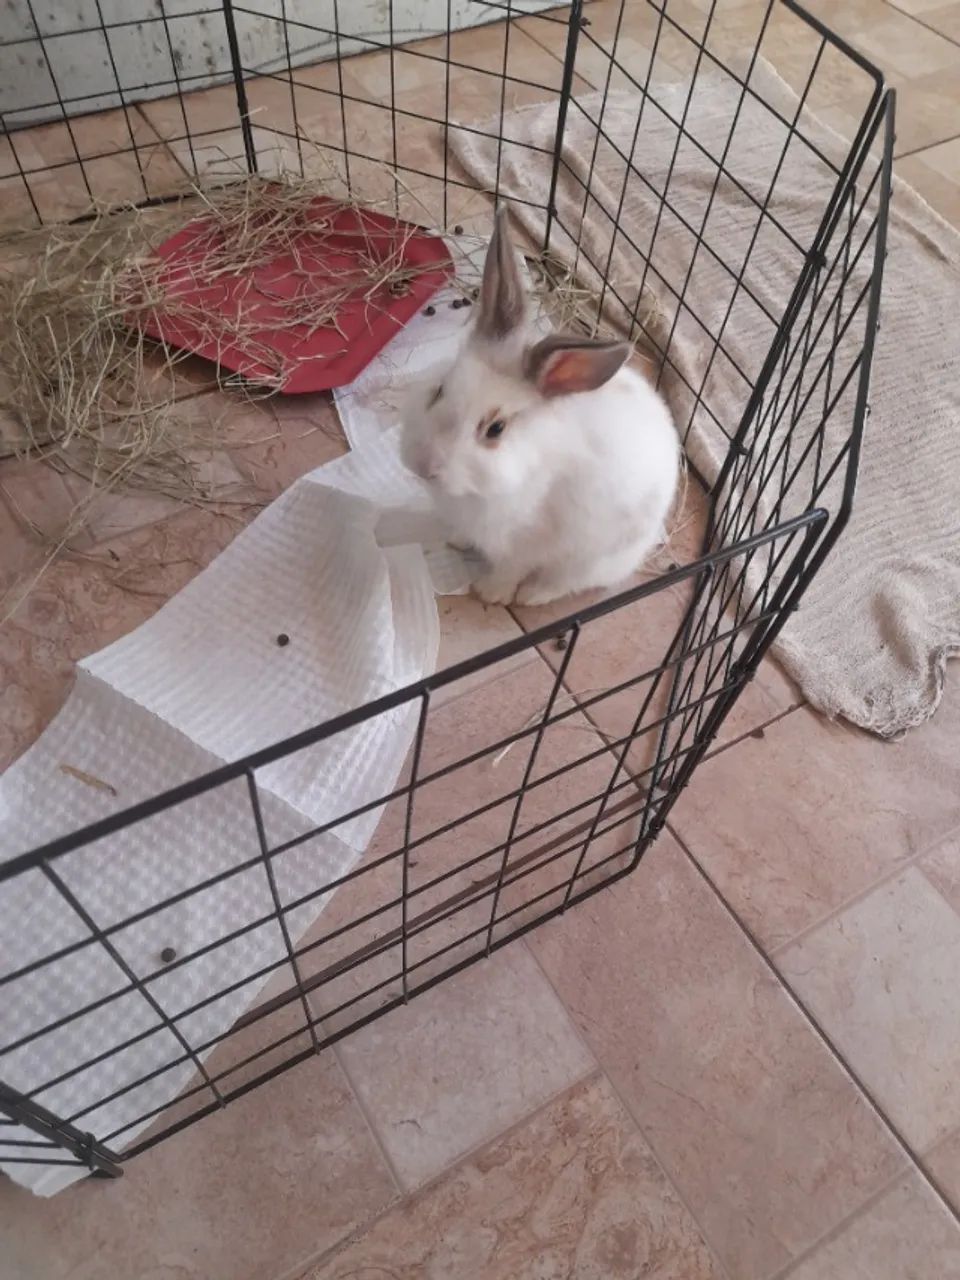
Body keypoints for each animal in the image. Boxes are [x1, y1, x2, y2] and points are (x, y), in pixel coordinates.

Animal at [400, 207, 680, 608]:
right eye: (440, 390)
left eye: (496, 429)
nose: (424, 466)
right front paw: (456, 541)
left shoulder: (526, 543)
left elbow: (510, 569)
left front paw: (491, 593)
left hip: (591, 558)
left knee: (567, 581)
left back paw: (533, 596)